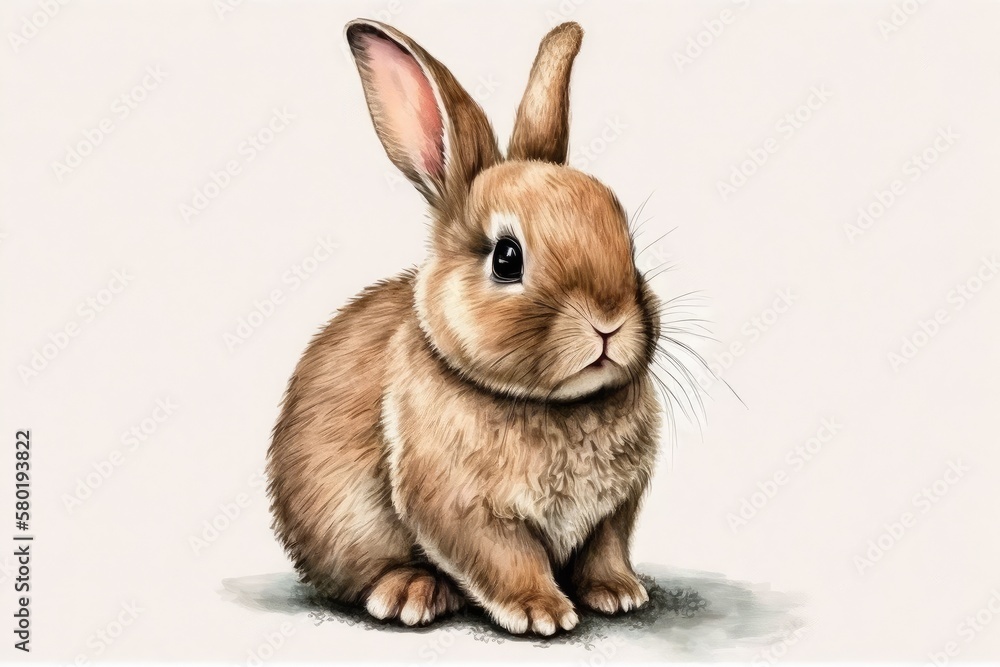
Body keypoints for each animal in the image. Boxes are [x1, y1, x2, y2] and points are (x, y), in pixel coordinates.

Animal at [267, 18, 665, 636]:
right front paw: (541, 612)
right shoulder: (461, 508)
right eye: (506, 258)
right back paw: (411, 593)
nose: (609, 323)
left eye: (631, 247)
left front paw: (620, 594)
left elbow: (606, 549)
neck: (551, 406)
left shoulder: (614, 512)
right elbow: (507, 558)